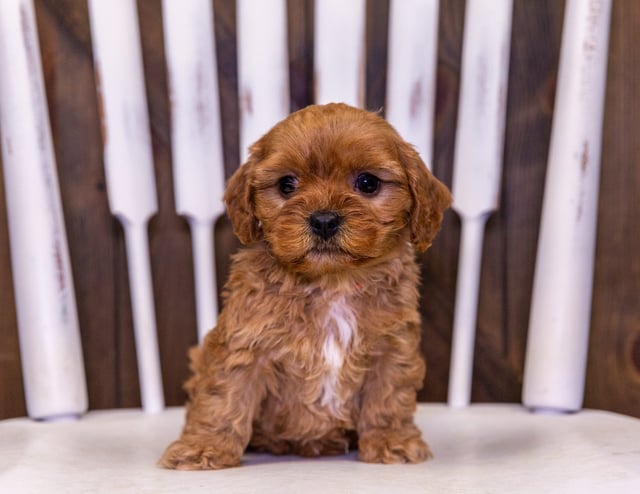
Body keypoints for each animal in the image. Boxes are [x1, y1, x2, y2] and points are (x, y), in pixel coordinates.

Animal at [160, 102, 450, 468]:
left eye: (367, 182)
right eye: (287, 184)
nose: (324, 220)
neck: (332, 282)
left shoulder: (392, 347)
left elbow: (388, 398)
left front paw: (391, 442)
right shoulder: (243, 345)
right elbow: (222, 398)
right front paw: (204, 448)